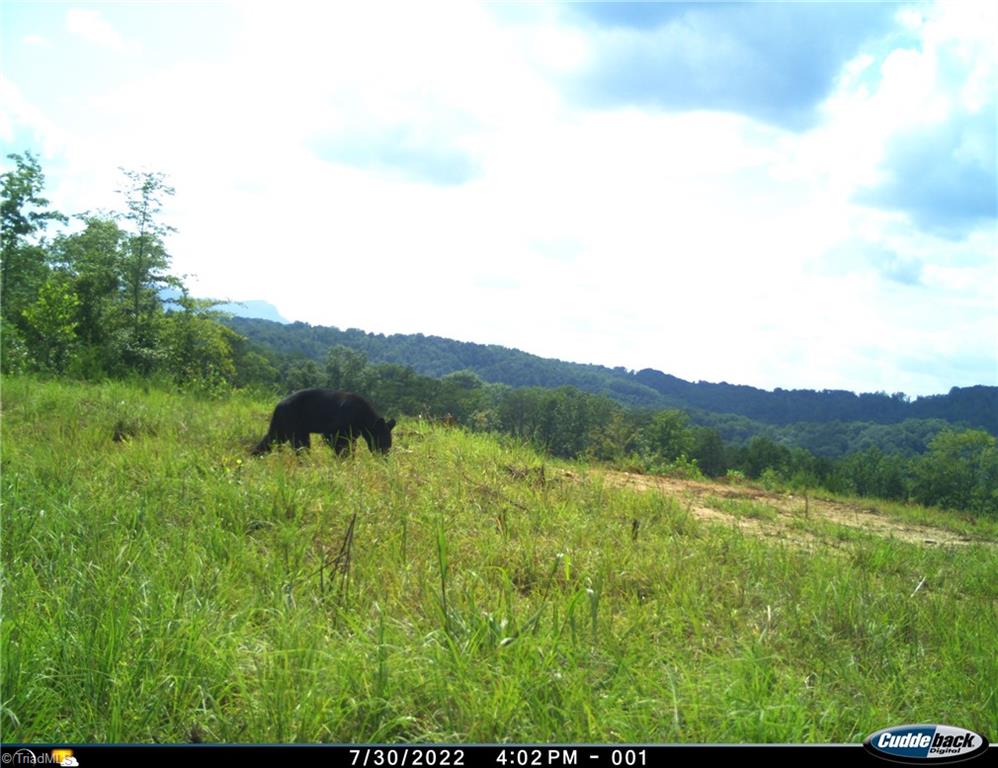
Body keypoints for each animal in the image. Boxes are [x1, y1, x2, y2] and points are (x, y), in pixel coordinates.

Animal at [252, 389, 396, 456]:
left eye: (389, 444)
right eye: (382, 443)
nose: (385, 457)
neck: (363, 417)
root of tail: (278, 405)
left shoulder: (354, 432)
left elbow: (351, 444)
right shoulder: (339, 424)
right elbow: (335, 441)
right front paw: (343, 459)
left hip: (285, 425)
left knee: (272, 438)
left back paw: (256, 455)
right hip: (292, 420)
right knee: (299, 445)